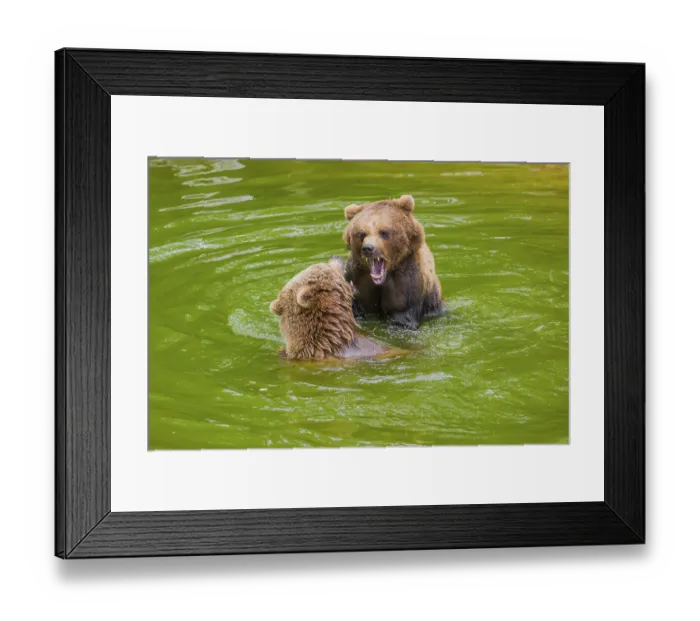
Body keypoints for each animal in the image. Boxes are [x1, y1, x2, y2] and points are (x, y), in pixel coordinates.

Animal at [342, 194, 446, 329]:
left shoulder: (407, 282)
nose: (368, 248)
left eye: (383, 232)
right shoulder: (356, 276)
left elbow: (402, 315)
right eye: (362, 234)